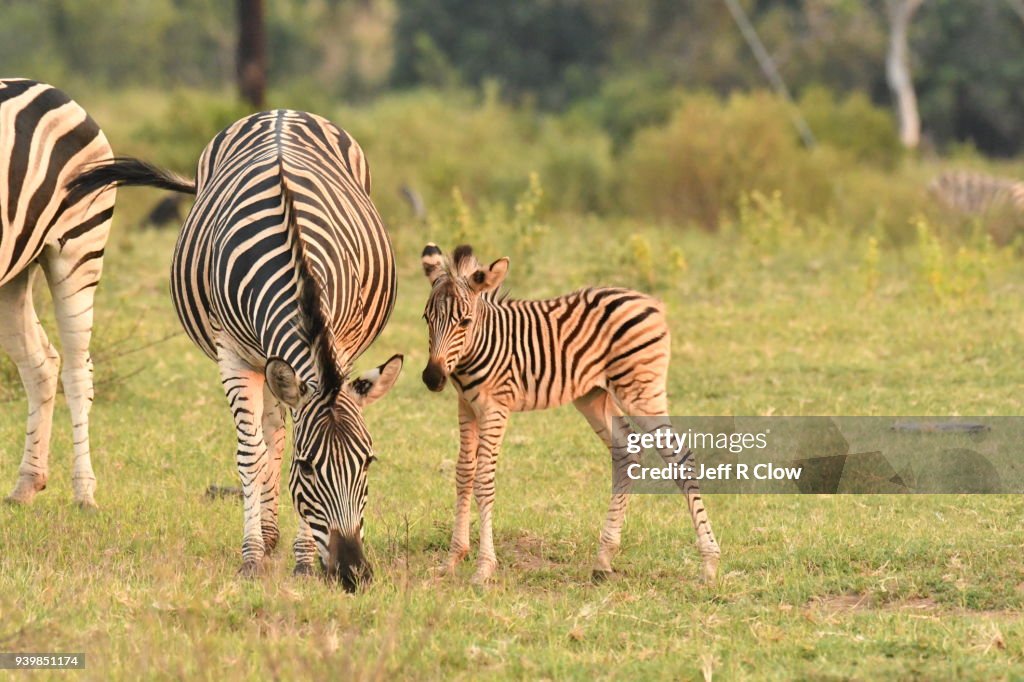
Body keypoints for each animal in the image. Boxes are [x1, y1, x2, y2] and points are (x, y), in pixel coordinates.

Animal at [1, 76, 116, 507]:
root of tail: (51, 88)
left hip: (79, 250)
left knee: (78, 372)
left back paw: (85, 493)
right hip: (14, 273)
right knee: (41, 365)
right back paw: (27, 483)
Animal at [68, 109, 401, 585]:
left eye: (368, 462)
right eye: (307, 468)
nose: (353, 573)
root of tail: (282, 111)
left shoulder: (343, 344)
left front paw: (302, 560)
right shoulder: (233, 354)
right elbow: (251, 456)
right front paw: (252, 556)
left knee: (277, 430)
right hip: (262, 359)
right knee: (270, 437)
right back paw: (268, 534)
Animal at [417, 241, 720, 581]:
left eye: (464, 322)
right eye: (426, 318)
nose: (432, 378)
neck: (478, 348)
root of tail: (650, 301)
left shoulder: (496, 407)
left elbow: (483, 479)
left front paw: (483, 568)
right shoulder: (466, 406)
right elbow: (463, 473)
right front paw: (453, 558)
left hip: (641, 391)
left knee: (680, 457)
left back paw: (709, 563)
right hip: (593, 396)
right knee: (627, 453)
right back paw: (604, 558)